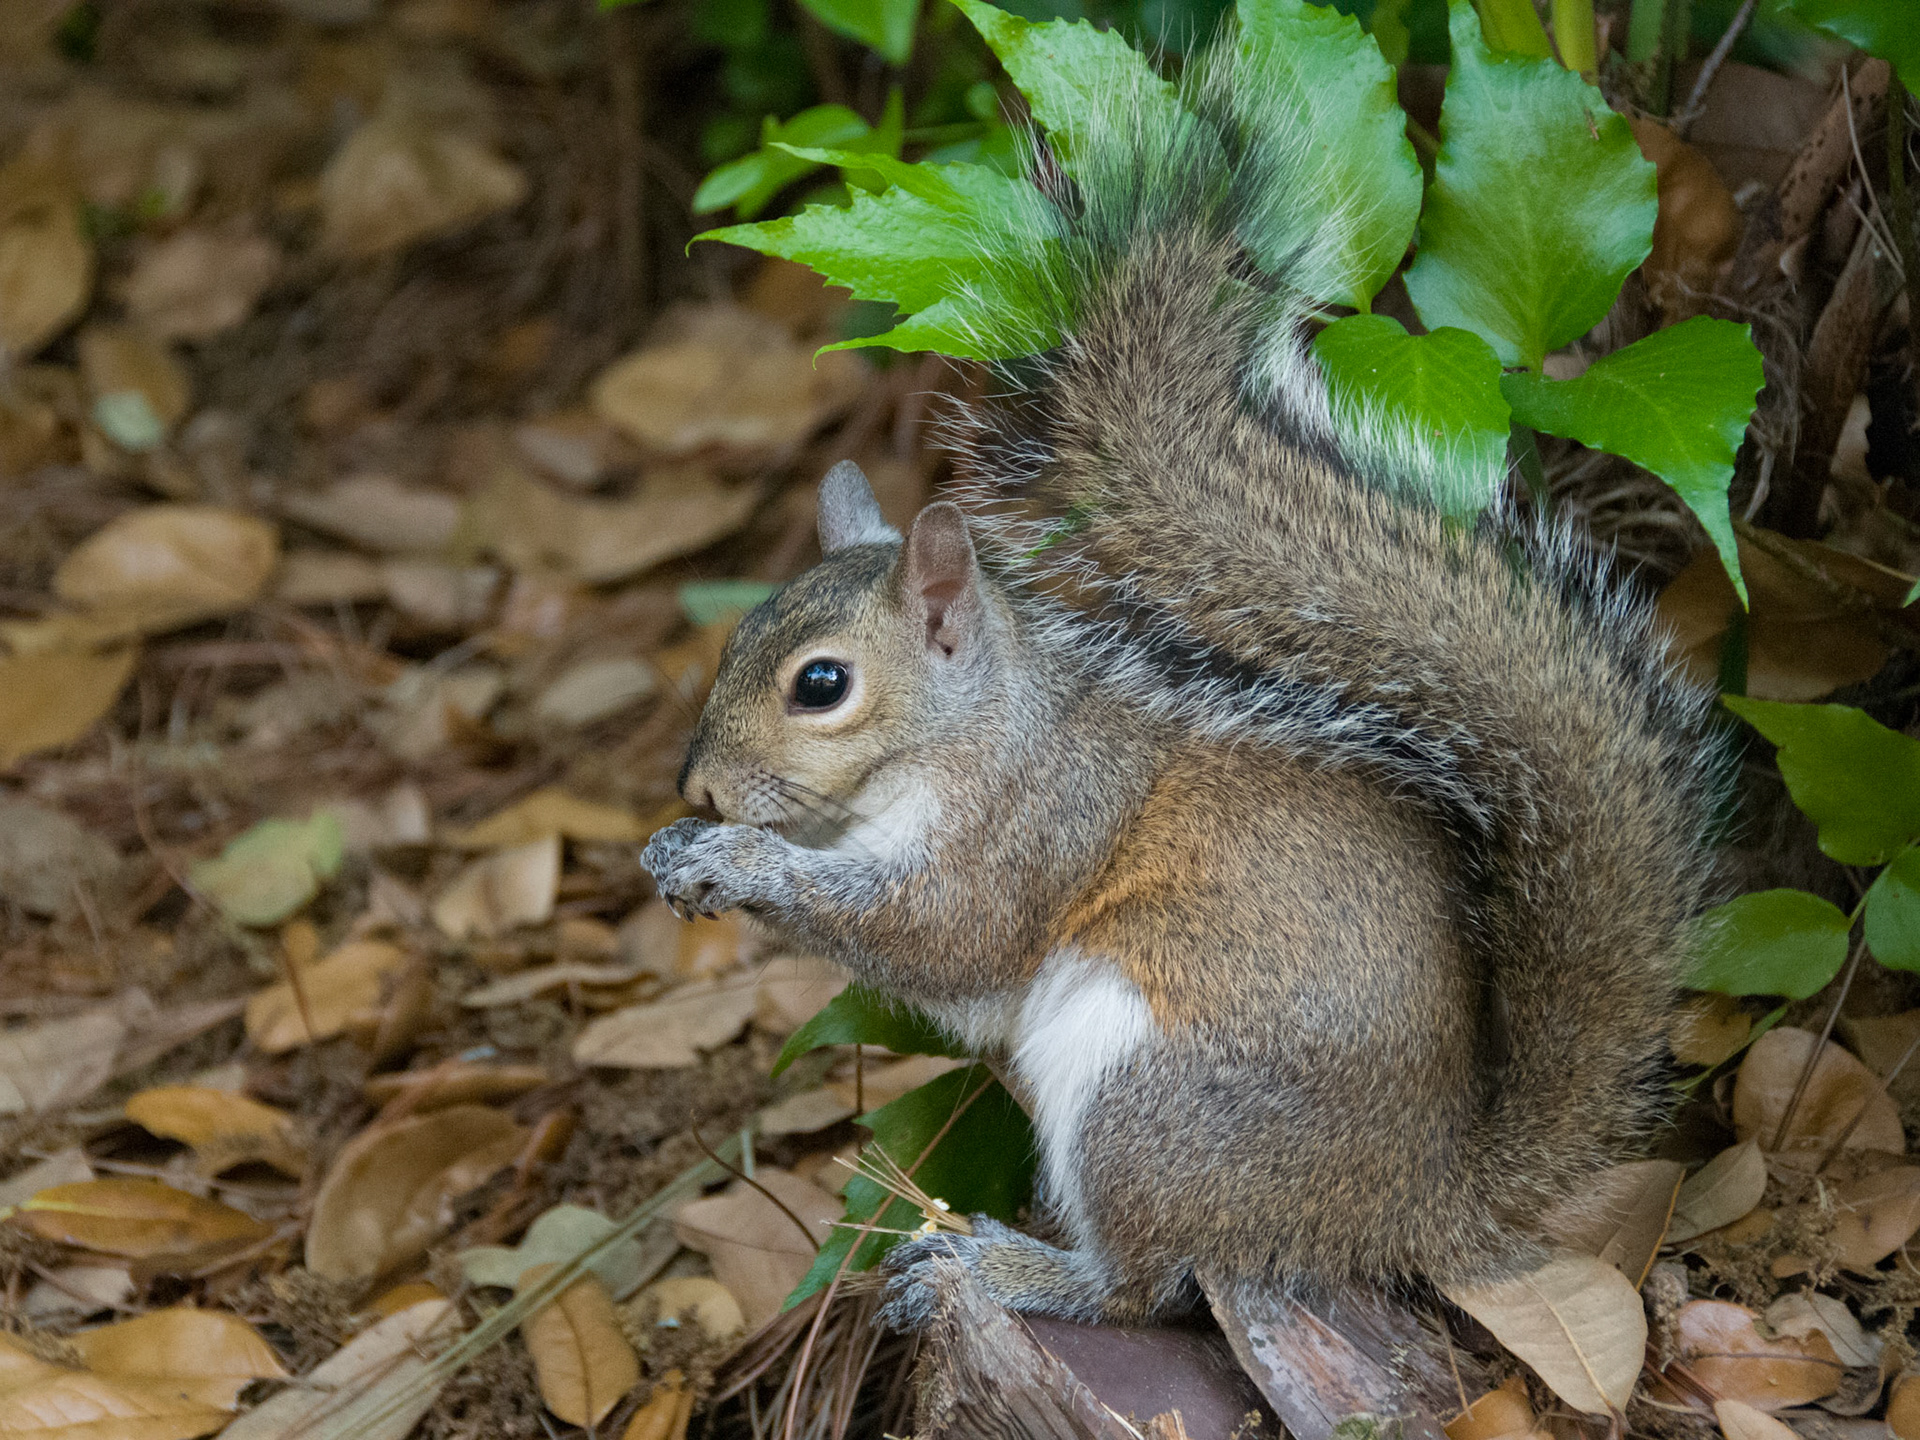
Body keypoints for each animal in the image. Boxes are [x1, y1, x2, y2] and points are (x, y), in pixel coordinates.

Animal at [641, 55, 1722, 1332]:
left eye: (822, 685)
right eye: (738, 638)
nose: (700, 790)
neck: (975, 739)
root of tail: (1420, 1203)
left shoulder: (1038, 829)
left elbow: (939, 938)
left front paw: (738, 862)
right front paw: (675, 850)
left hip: (1145, 1096)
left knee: (1146, 1286)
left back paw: (1009, 1268)